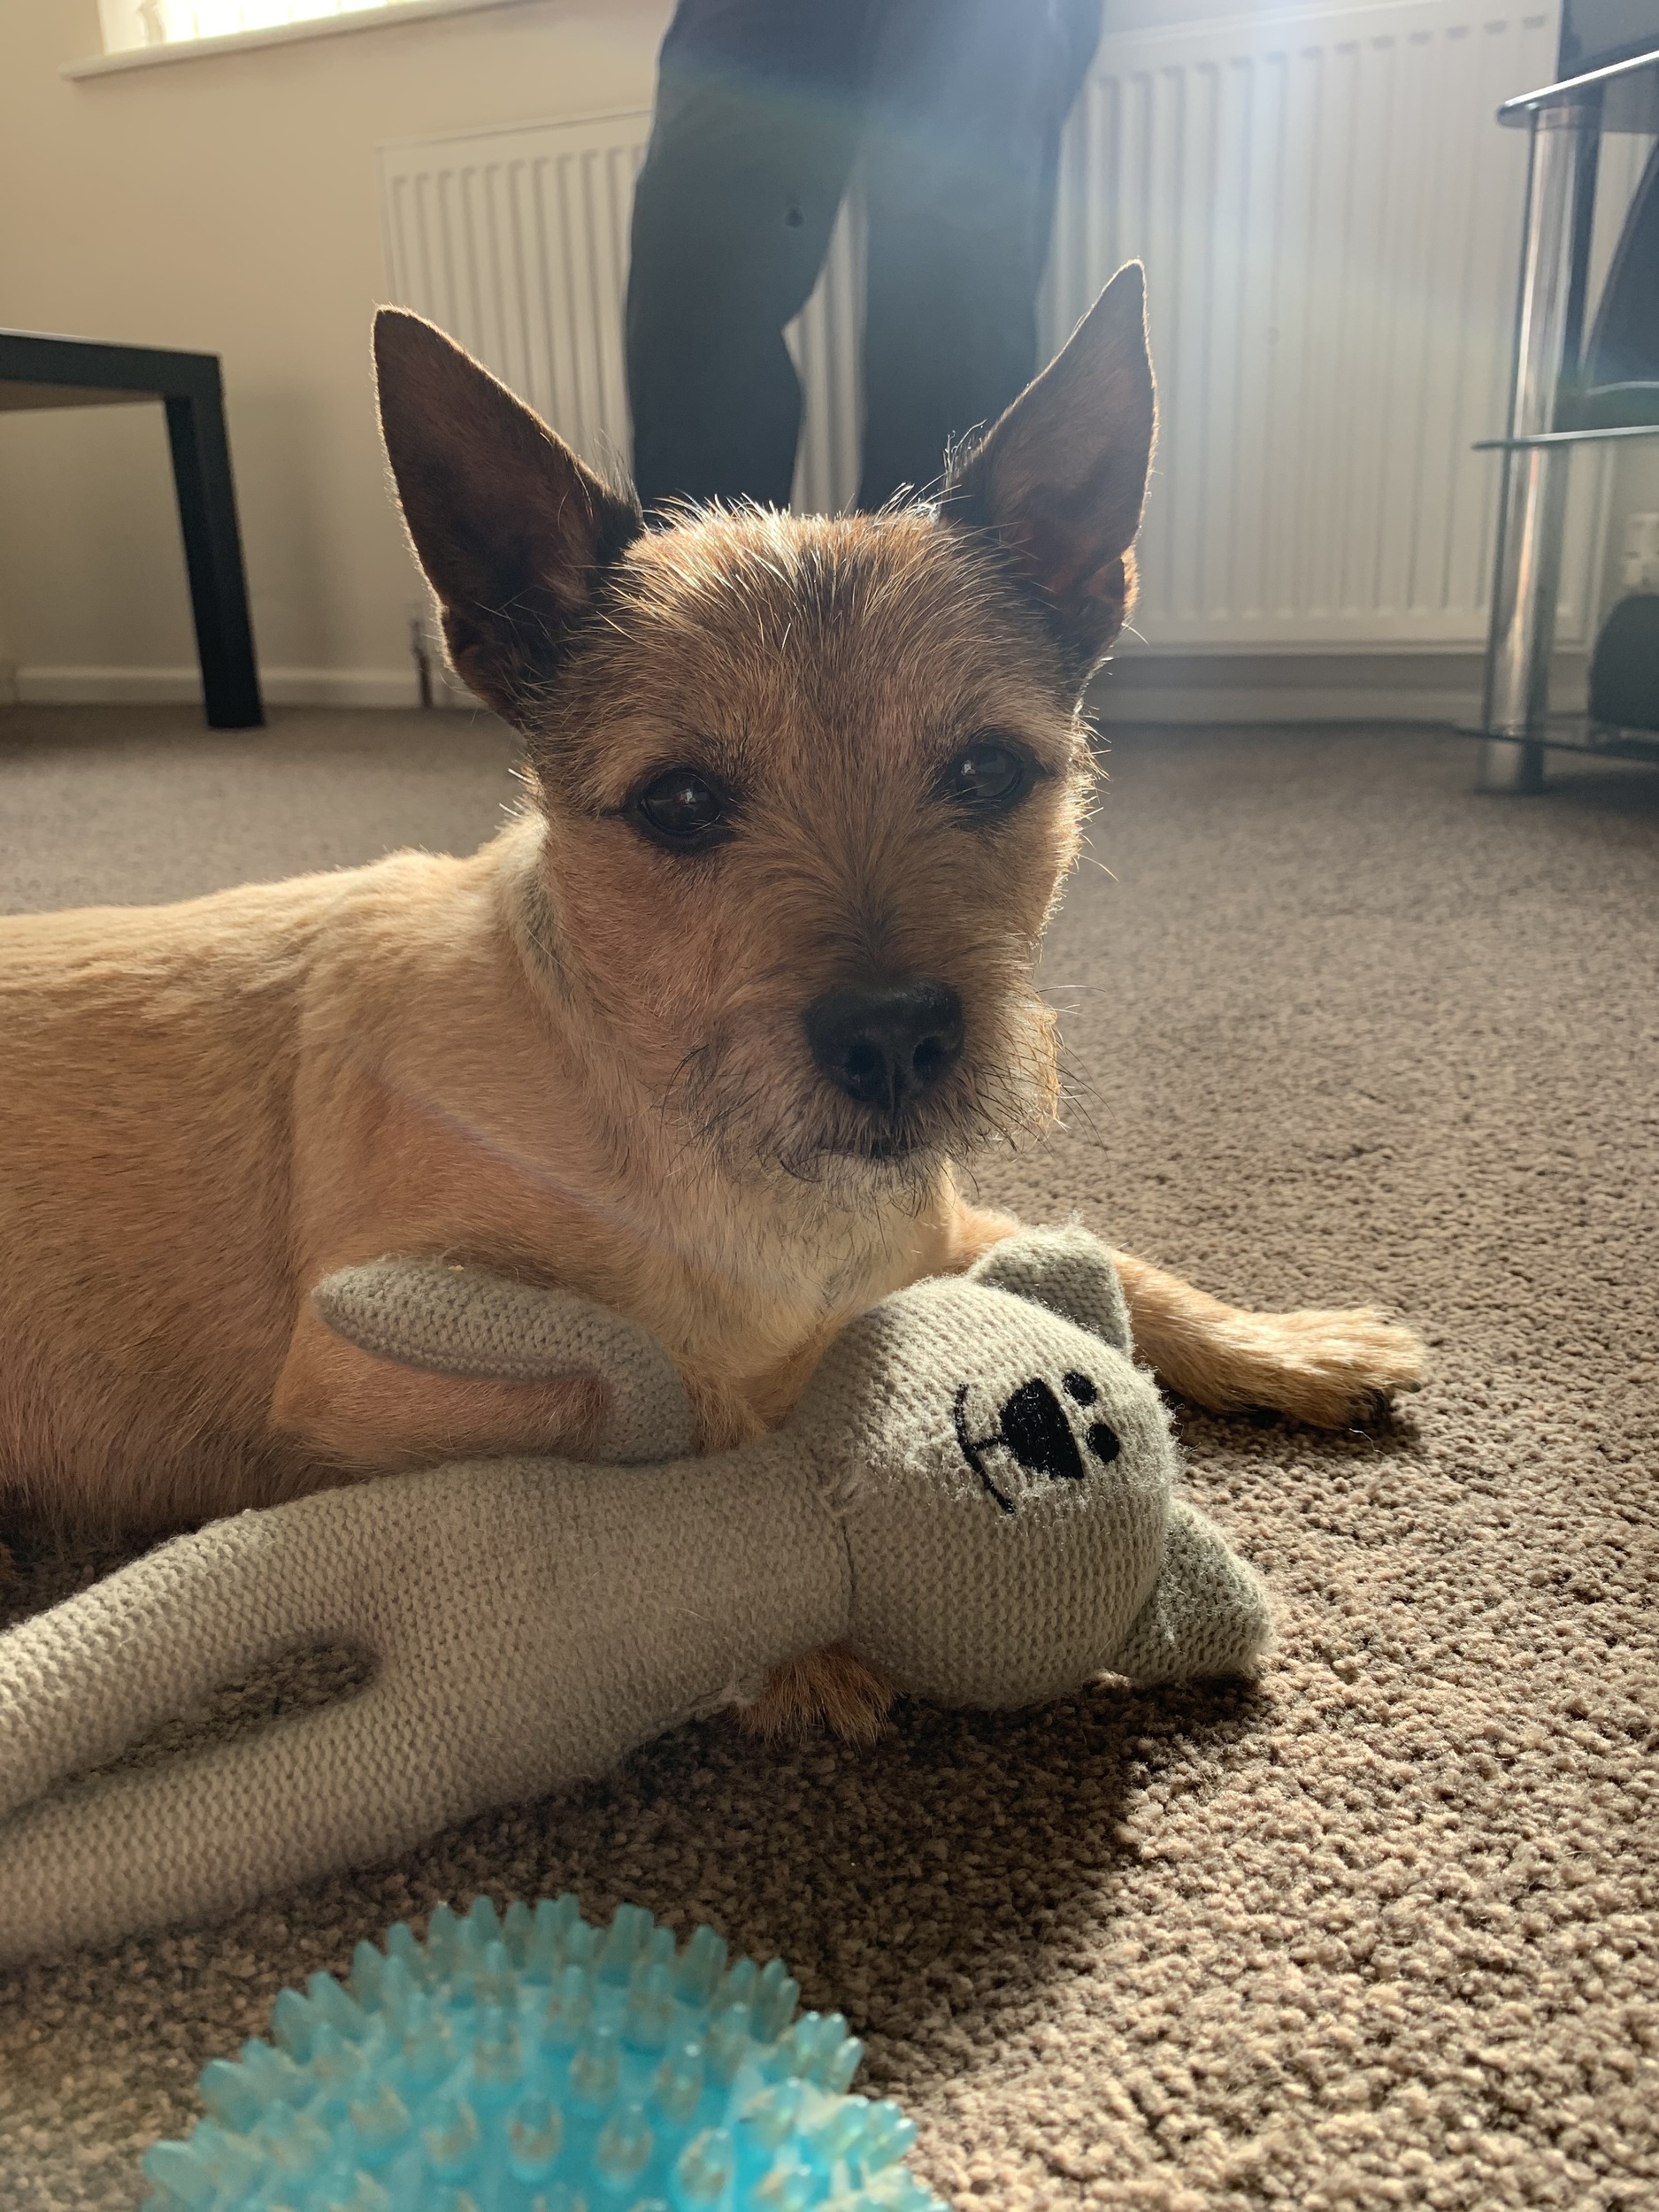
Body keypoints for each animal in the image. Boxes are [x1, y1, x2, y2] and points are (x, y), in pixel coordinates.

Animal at [0, 265, 1422, 1738]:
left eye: (984, 770)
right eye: (678, 802)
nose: (896, 1036)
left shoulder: (931, 1218)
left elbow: (1116, 1261)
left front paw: (1283, 1343)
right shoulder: (360, 1378)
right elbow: (683, 1401)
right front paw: (807, 1598)